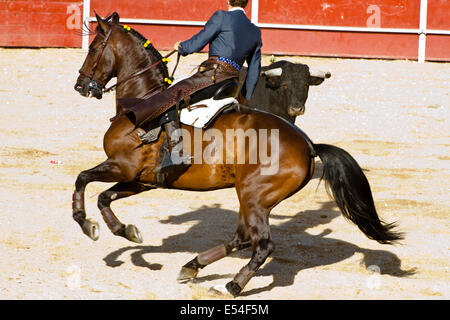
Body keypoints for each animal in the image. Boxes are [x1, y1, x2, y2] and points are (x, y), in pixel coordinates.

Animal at [72, 13, 402, 298]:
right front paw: (125, 231)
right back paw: (192, 266)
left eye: (93, 48)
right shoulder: (141, 180)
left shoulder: (122, 167)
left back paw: (229, 285)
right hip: (252, 197)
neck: (141, 101)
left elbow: (82, 179)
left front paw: (87, 224)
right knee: (242, 238)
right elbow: (104, 197)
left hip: (254, 196)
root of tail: (309, 145)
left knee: (262, 245)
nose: (80, 85)